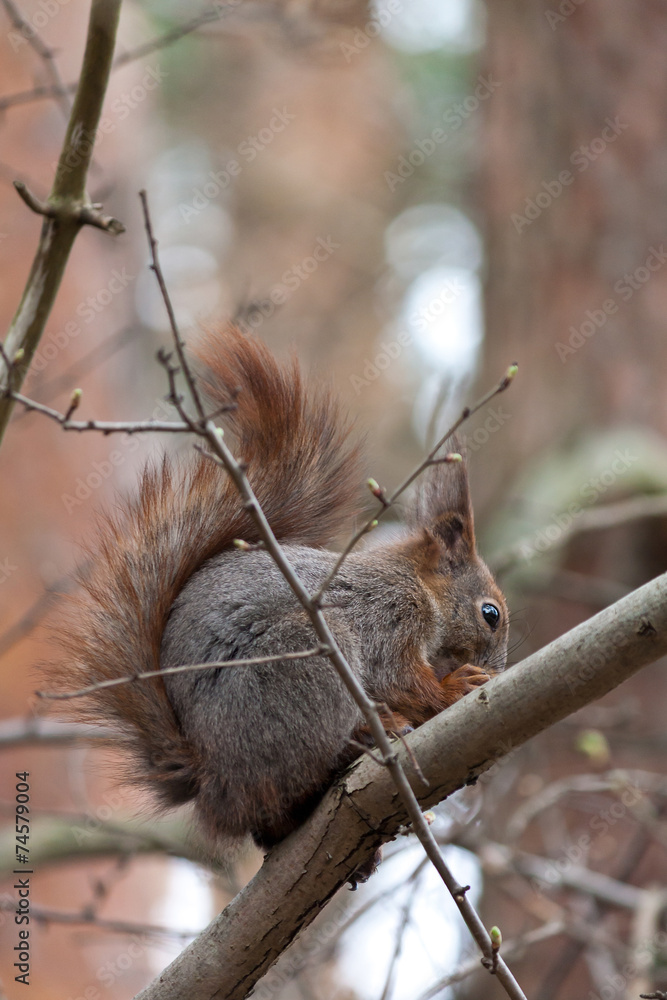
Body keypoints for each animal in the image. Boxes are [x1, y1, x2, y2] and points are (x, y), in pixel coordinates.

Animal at [48, 325, 509, 854]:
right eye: (491, 613)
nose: (497, 669)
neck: (416, 585)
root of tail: (213, 779)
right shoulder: (391, 616)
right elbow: (401, 679)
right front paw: (456, 686)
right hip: (303, 666)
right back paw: (362, 741)